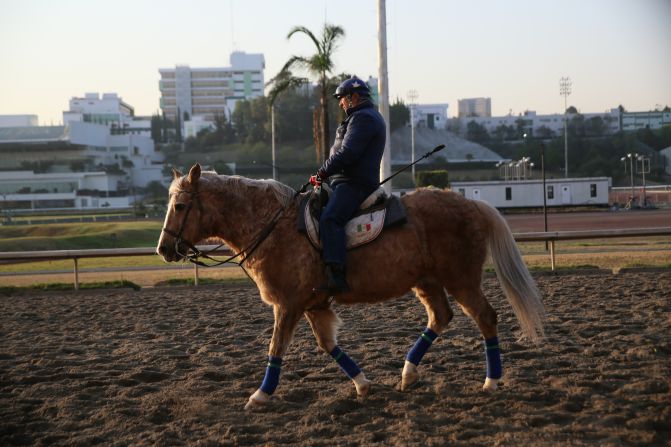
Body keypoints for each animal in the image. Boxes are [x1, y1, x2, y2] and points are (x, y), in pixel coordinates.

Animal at [158, 164, 544, 410]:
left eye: (180, 205)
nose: (163, 249)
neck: (274, 226)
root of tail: (471, 202)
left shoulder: (287, 305)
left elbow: (275, 349)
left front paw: (260, 396)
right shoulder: (313, 305)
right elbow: (328, 346)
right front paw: (363, 384)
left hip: (461, 280)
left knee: (485, 318)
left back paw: (491, 382)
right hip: (428, 282)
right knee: (440, 317)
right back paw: (408, 374)